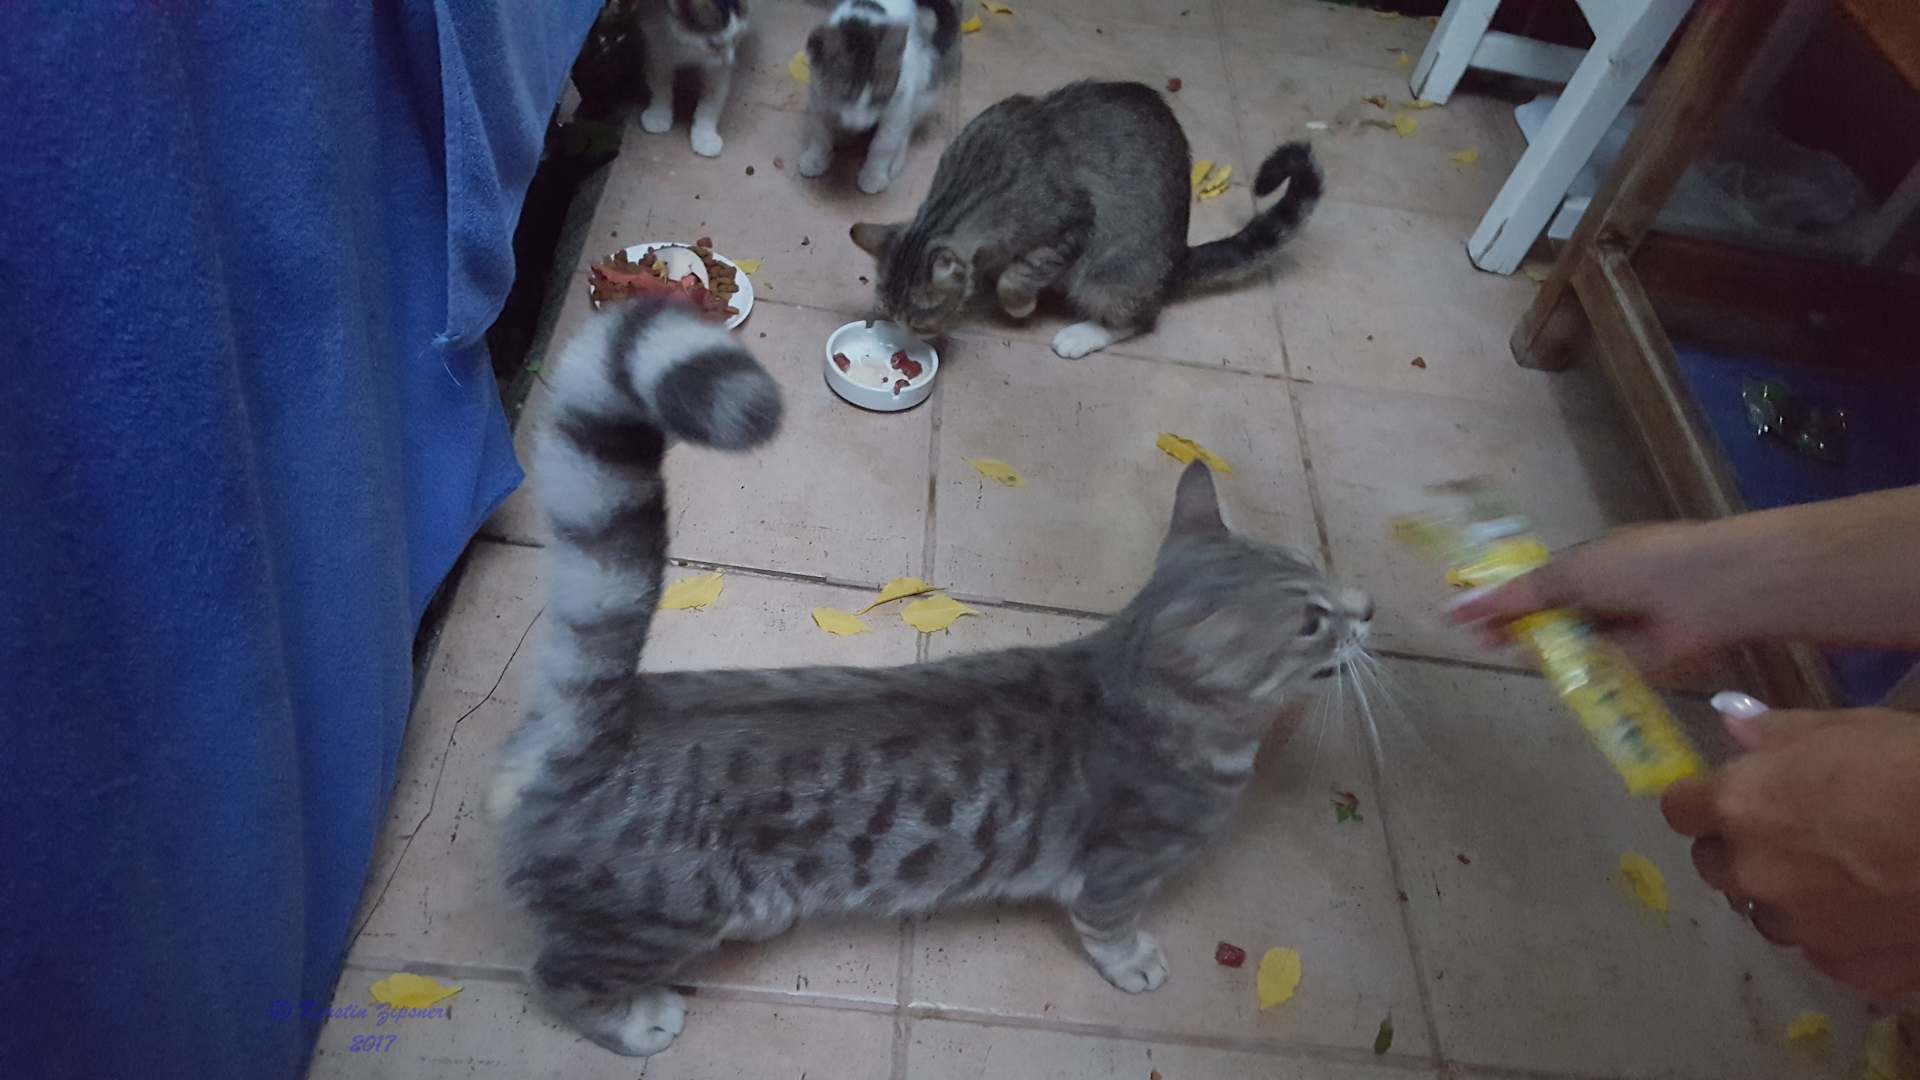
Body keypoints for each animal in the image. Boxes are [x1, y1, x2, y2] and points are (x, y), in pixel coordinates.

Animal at [490, 297, 1372, 1058]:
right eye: (1311, 620)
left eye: (1318, 568)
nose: (1366, 608)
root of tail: (598, 733)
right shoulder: (1119, 872)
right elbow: (1108, 926)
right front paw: (1135, 964)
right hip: (659, 918)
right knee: (554, 974)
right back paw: (635, 1021)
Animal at [637, 0, 750, 158]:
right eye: (712, 44)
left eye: (733, 40)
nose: (730, 60)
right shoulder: (656, 41)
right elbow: (660, 82)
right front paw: (658, 114)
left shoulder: (717, 69)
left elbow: (712, 99)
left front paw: (705, 135)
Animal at [798, 0, 961, 195]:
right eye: (845, 95)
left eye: (879, 96)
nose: (861, 126)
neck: (862, 21)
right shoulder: (818, 91)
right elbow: (820, 131)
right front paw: (816, 158)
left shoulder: (900, 98)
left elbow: (884, 142)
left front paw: (873, 175)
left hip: (925, 79)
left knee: (908, 126)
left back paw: (895, 159)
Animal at [850, 79, 1323, 359]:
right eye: (889, 313)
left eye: (918, 318)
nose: (906, 340)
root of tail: (1178, 258)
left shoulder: (1073, 223)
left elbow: (1016, 278)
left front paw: (1018, 303)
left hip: (1110, 274)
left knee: (1141, 318)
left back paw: (1082, 335)